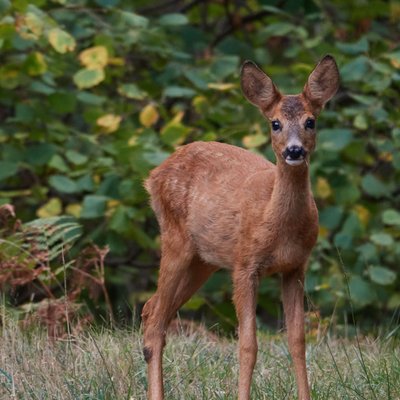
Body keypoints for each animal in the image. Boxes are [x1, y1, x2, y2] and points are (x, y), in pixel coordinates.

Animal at [142, 54, 340, 398]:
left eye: (310, 121)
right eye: (275, 123)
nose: (294, 150)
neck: (277, 225)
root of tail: (154, 175)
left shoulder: (295, 267)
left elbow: (298, 341)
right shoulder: (246, 265)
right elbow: (248, 345)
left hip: (204, 260)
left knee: (151, 308)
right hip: (175, 239)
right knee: (155, 320)